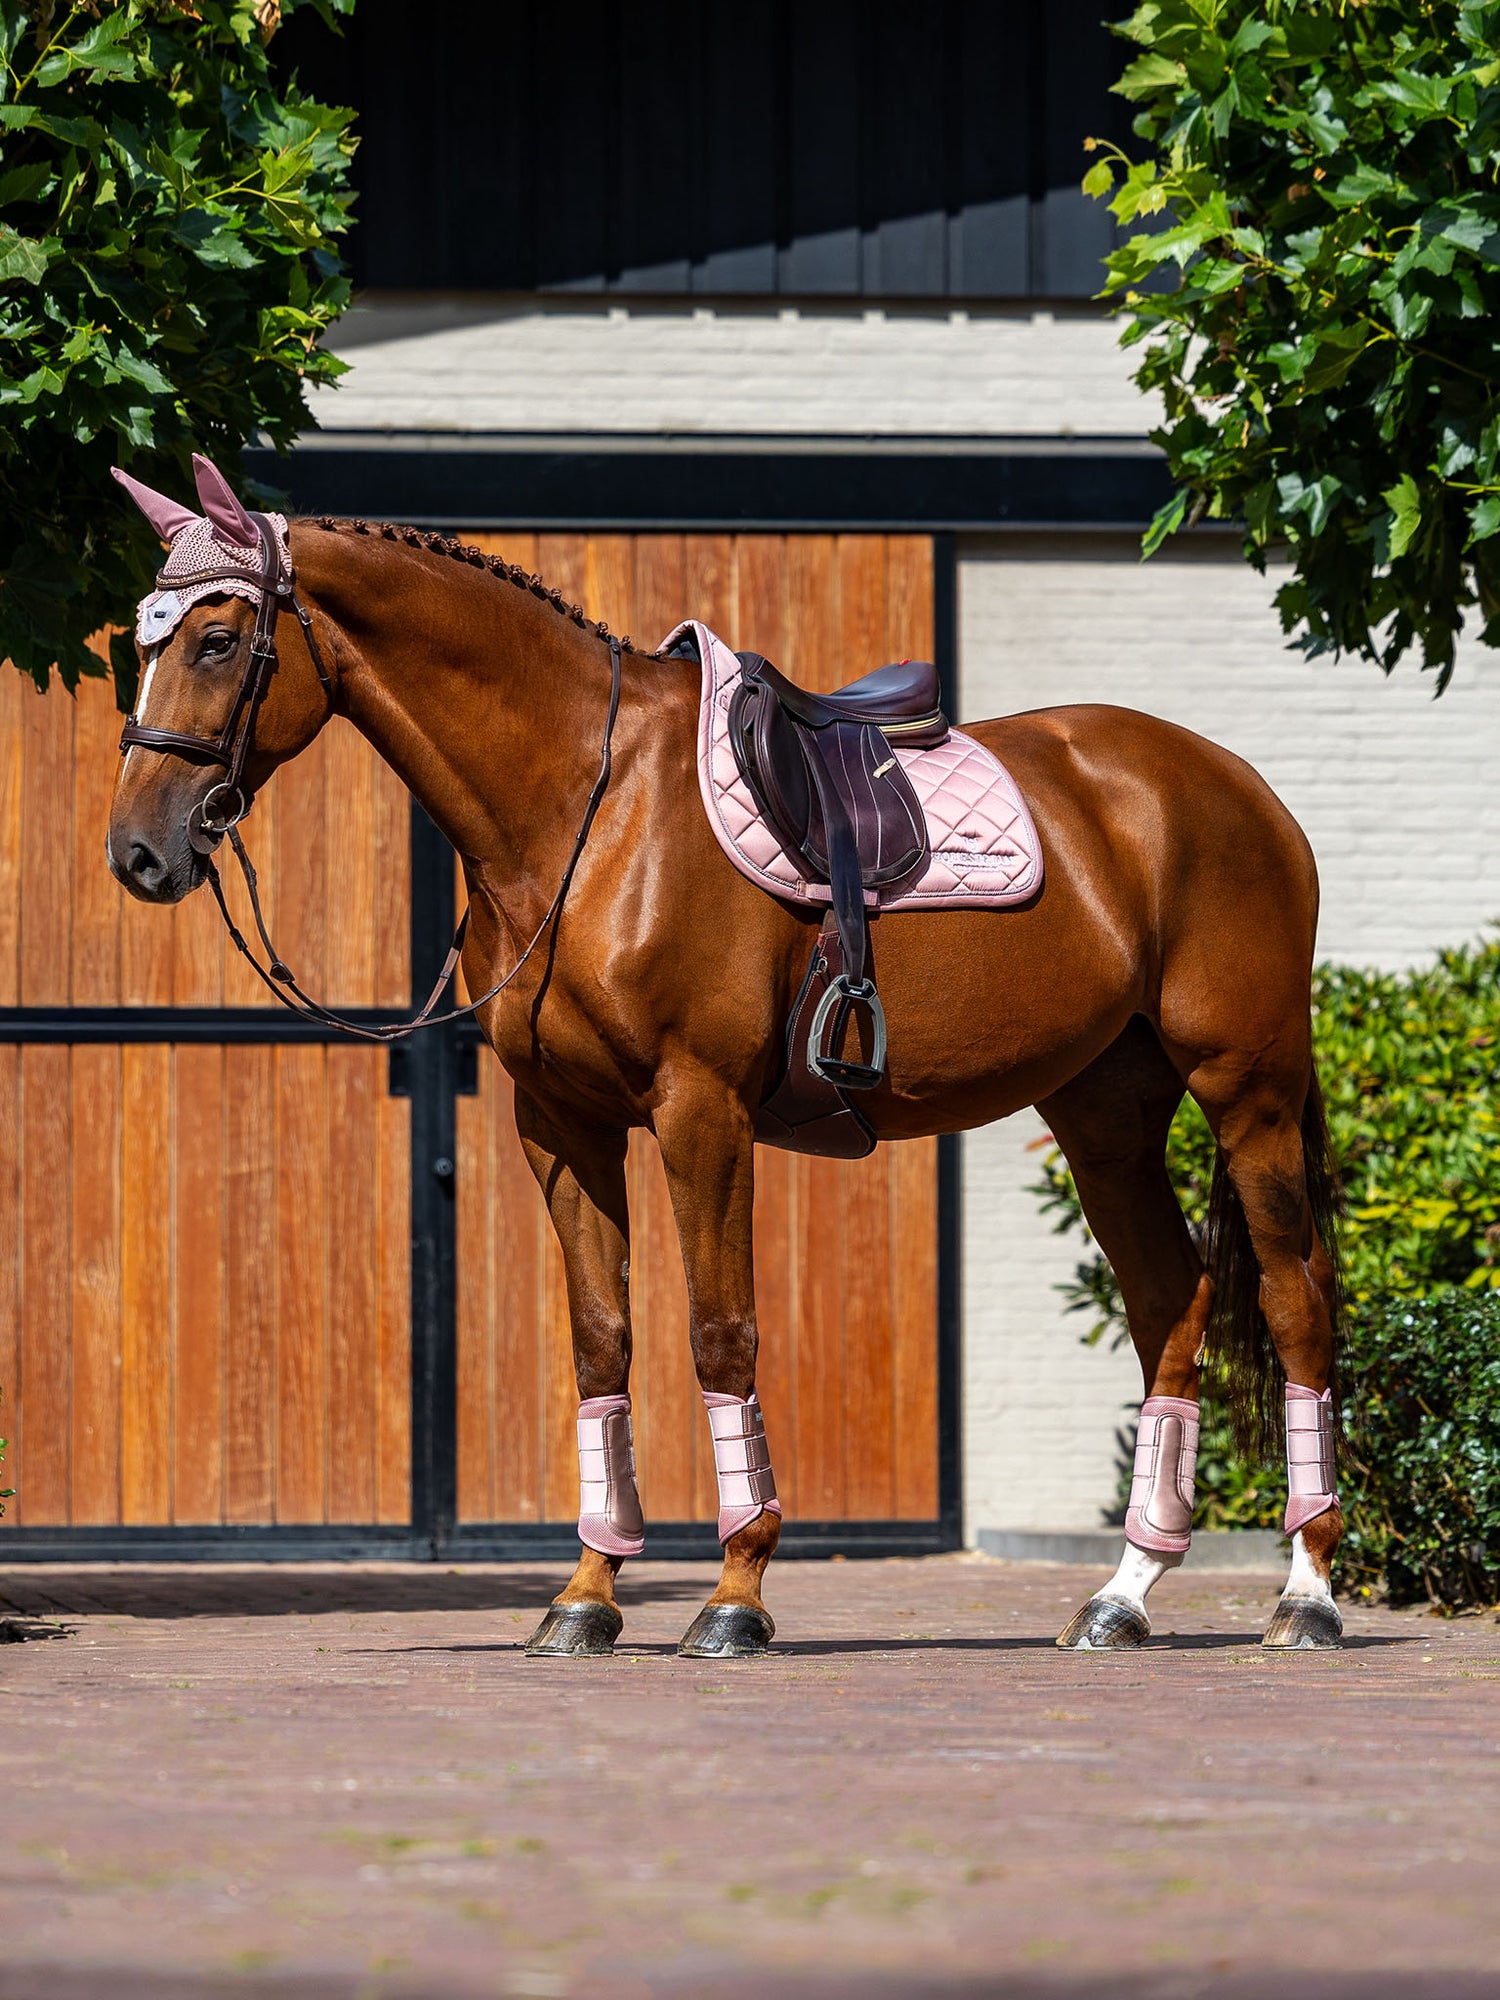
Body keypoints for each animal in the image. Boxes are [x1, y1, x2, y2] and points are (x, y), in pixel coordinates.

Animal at [106, 456, 1346, 1657]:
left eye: (217, 639)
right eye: (141, 639)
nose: (137, 852)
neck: (588, 805)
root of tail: (1239, 788)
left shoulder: (701, 1109)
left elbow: (720, 1332)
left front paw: (736, 1595)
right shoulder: (560, 1120)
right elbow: (602, 1344)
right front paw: (585, 1596)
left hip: (1248, 1089)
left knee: (1294, 1300)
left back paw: (1307, 1592)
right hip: (1107, 1114)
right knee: (1172, 1300)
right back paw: (1122, 1596)